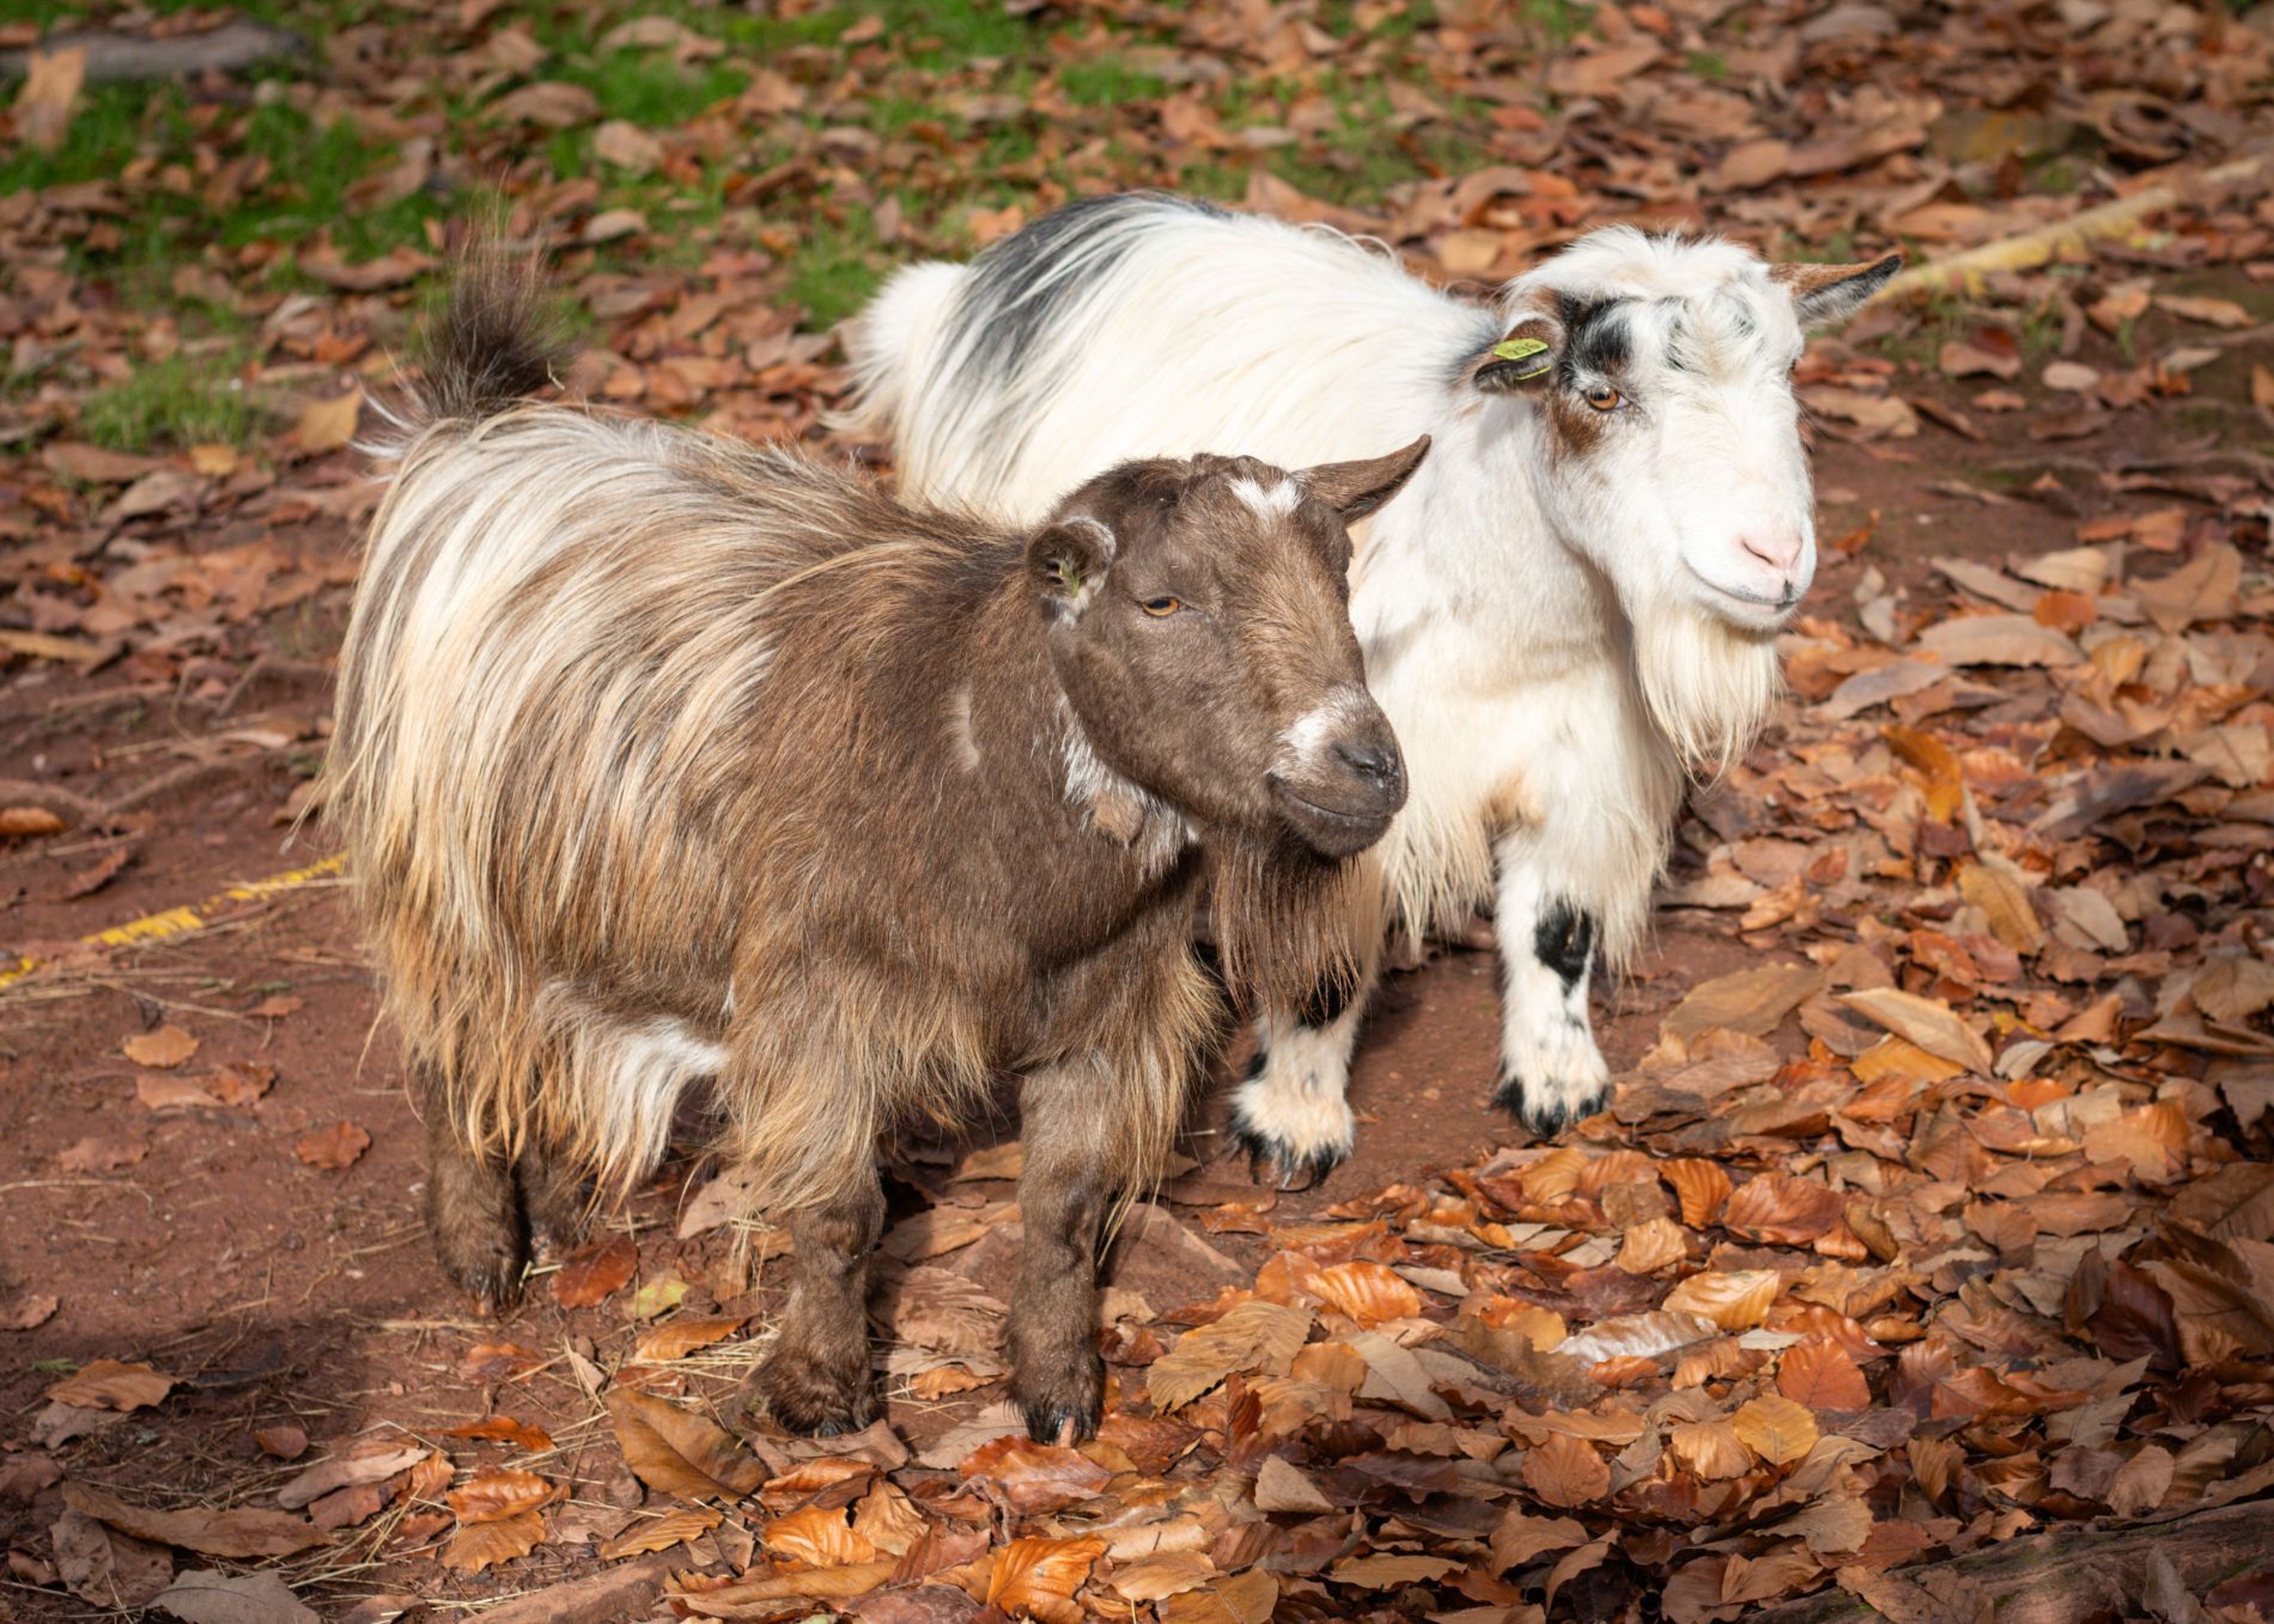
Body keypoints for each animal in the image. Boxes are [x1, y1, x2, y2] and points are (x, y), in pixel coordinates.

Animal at [327, 254, 1427, 1441]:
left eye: (1342, 577)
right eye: (1162, 598)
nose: (1366, 767)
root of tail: (471, 434)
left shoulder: (1110, 1004)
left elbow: (1065, 1203)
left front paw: (1057, 1388)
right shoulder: (819, 1000)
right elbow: (840, 1208)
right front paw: (821, 1388)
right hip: (435, 873)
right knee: (445, 1047)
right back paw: (483, 1249)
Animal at [843, 195, 1899, 1186]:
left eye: (1790, 373)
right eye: (1601, 392)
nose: (1775, 557)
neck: (1504, 613)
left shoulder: (1577, 764)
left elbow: (1558, 929)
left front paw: (1558, 1081)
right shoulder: (1340, 780)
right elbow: (1326, 973)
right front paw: (1294, 1121)